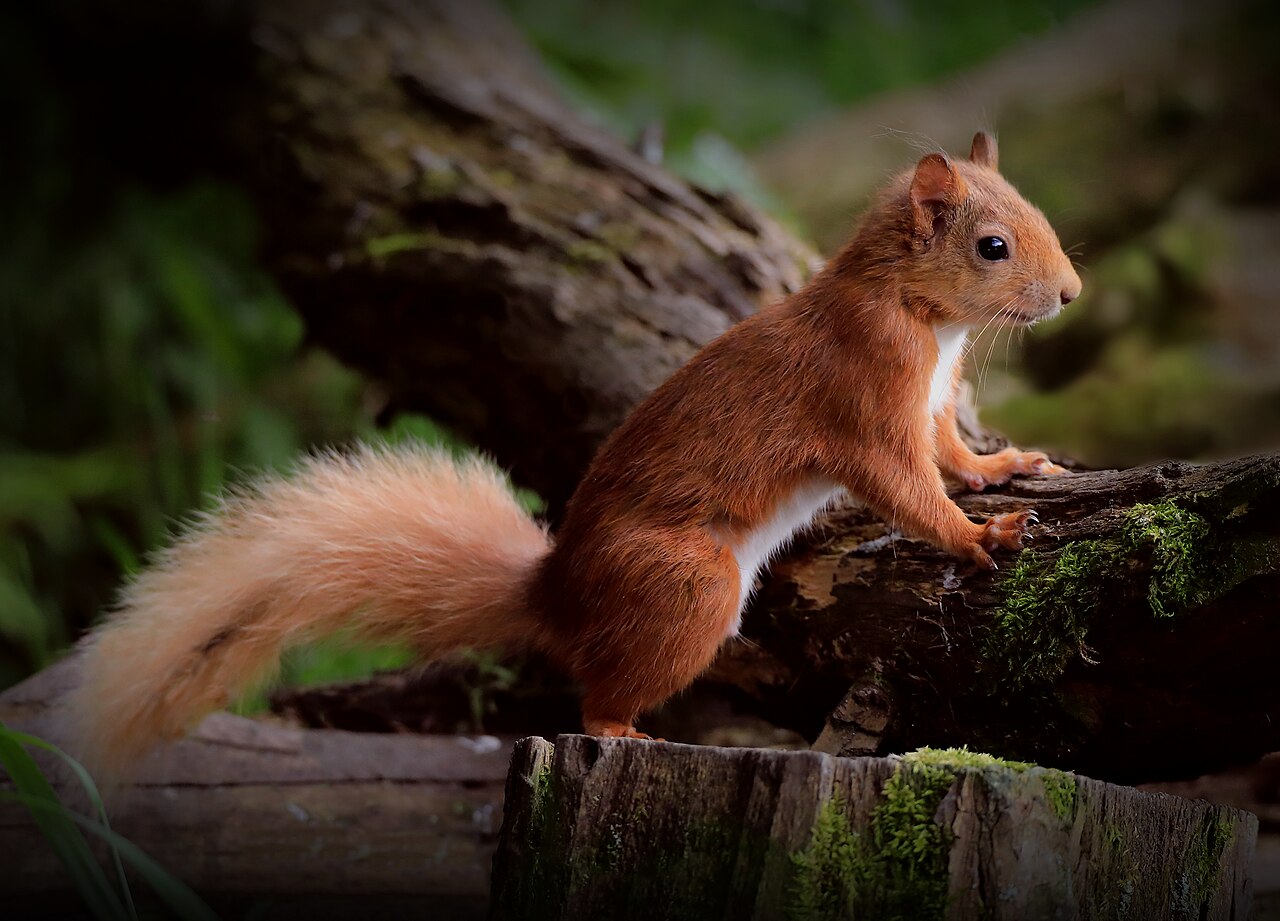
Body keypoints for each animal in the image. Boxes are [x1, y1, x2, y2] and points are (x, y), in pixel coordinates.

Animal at [64, 131, 1081, 776]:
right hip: (688, 584)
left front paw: (1005, 469)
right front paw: (975, 537)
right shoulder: (866, 398)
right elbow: (903, 485)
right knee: (594, 693)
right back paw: (624, 731)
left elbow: (951, 455)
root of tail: (558, 593)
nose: (1072, 293)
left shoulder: (931, 403)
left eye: (1038, 213)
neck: (921, 315)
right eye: (993, 246)